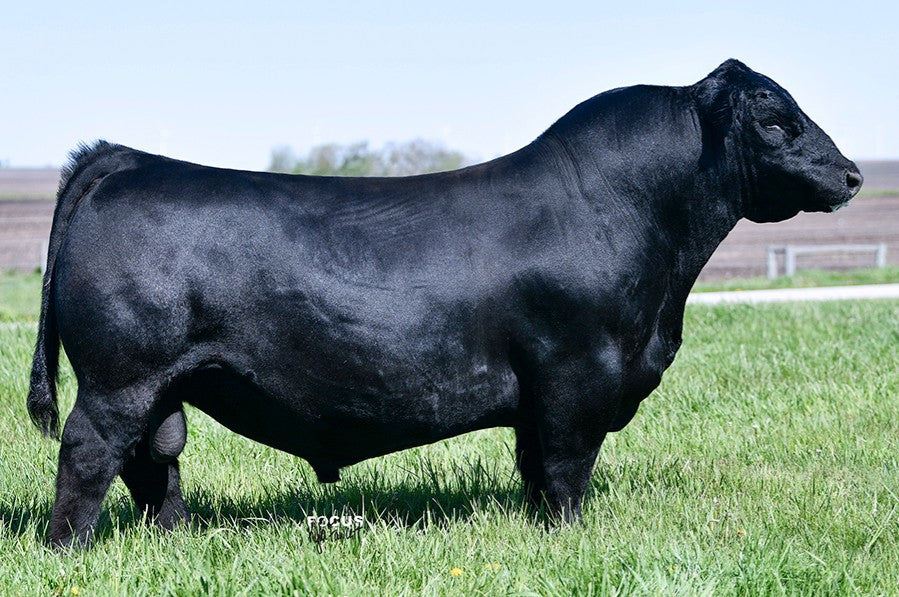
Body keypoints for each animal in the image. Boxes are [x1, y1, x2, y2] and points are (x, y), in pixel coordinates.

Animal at [27, 59, 862, 547]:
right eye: (776, 120)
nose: (853, 174)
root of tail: (129, 159)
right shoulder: (576, 377)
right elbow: (566, 468)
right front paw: (570, 540)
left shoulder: (543, 393)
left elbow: (535, 468)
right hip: (118, 377)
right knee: (90, 452)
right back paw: (69, 547)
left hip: (163, 381)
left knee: (154, 460)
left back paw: (176, 539)